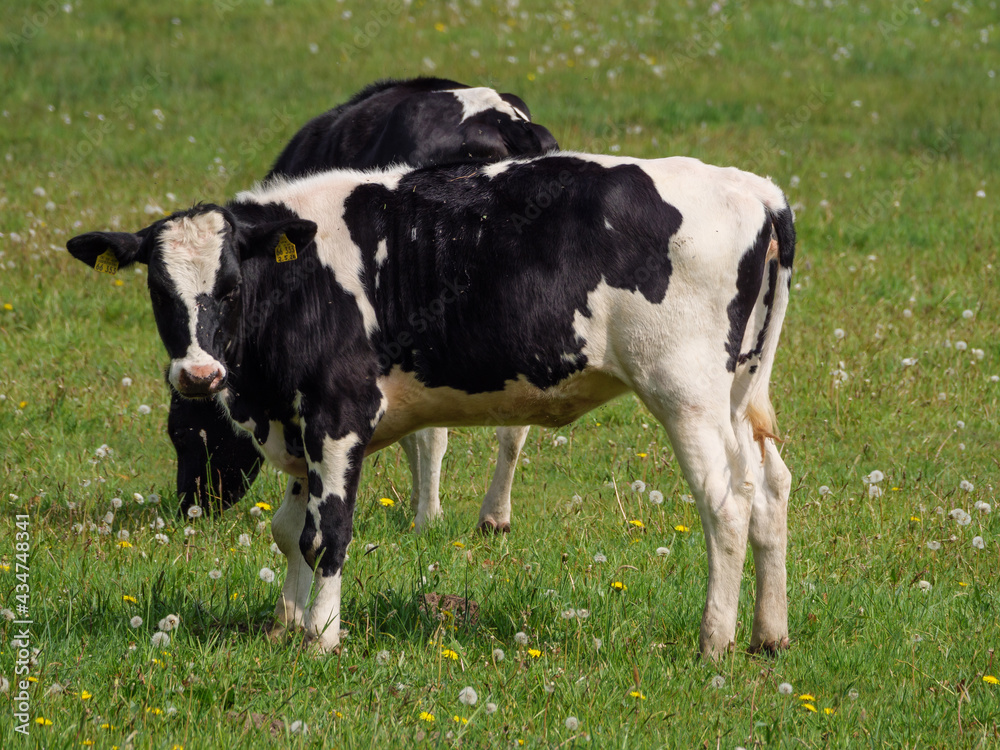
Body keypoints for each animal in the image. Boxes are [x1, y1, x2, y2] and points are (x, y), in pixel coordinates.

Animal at [68, 151, 796, 656]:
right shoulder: (301, 424)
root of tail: (754, 189)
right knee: (768, 489)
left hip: (684, 392)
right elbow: (289, 531)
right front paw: (285, 623)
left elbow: (326, 533)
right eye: (159, 290)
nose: (197, 373)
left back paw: (714, 642)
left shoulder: (339, 414)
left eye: (229, 286)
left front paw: (322, 638)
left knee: (725, 504)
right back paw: (770, 634)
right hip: (739, 395)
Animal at [173, 78, 560, 536]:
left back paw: (428, 518)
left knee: (437, 432)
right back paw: (494, 517)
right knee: (514, 425)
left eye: (180, 434)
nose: (189, 506)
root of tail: (503, 120)